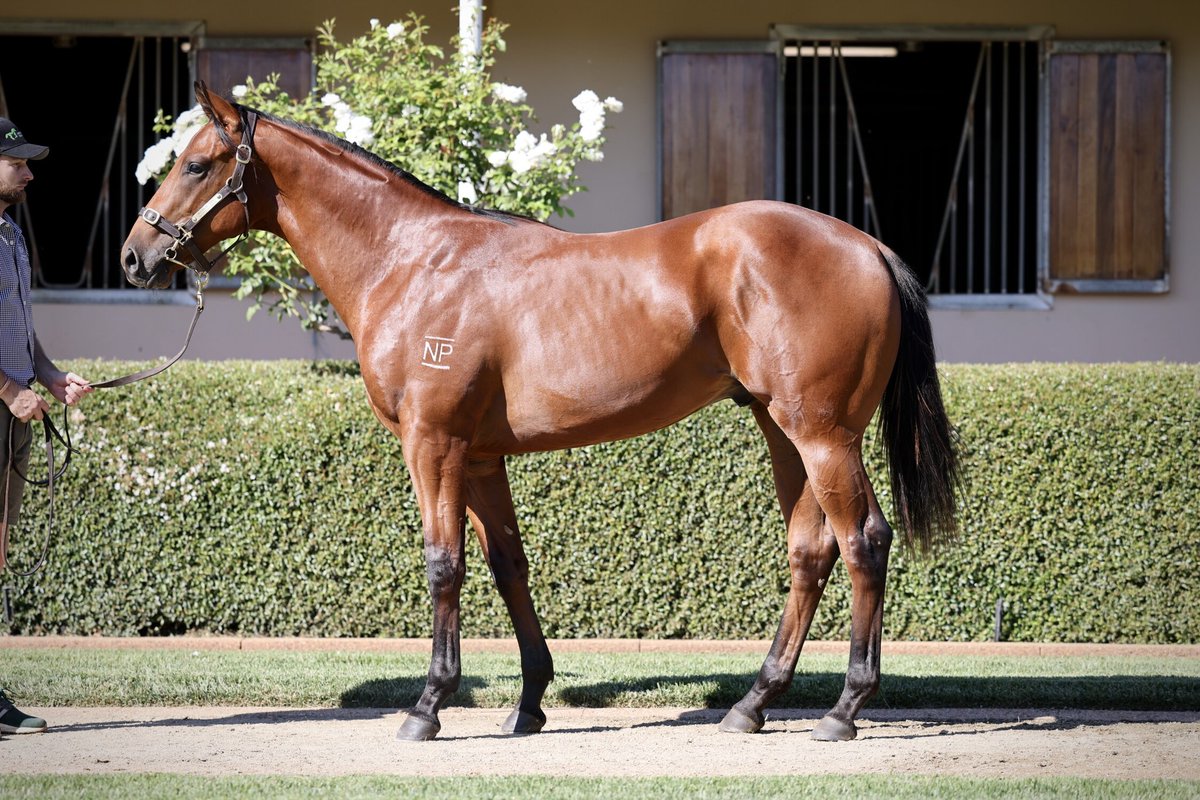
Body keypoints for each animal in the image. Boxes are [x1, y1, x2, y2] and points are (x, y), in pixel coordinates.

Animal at [121, 84, 960, 743]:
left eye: (196, 164)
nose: (135, 256)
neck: (413, 260)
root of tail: (869, 248)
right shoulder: (480, 455)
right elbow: (508, 567)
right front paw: (527, 704)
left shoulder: (433, 445)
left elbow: (444, 565)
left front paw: (428, 706)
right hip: (783, 431)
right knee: (811, 553)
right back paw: (752, 704)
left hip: (822, 435)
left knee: (864, 544)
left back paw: (844, 710)